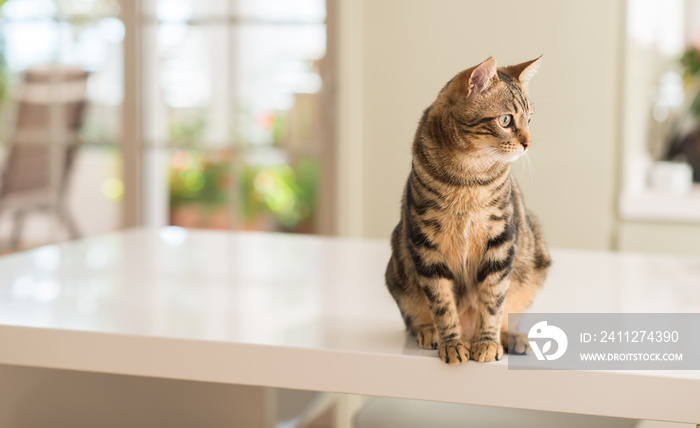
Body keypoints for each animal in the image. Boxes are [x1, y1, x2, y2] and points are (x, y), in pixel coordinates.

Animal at [382, 56, 552, 364]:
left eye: (529, 119)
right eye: (506, 120)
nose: (528, 142)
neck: (469, 178)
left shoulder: (501, 239)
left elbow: (493, 301)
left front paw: (487, 343)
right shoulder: (425, 243)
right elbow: (442, 303)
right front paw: (451, 343)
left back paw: (509, 337)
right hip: (398, 271)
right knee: (415, 320)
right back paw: (431, 332)